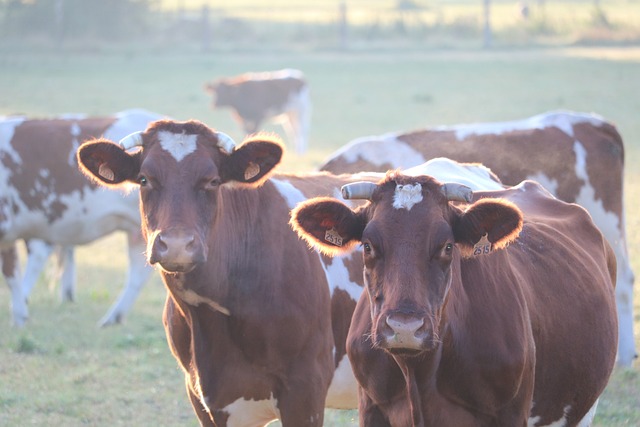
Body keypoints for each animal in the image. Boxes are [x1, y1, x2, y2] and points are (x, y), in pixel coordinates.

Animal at [292, 172, 616, 426]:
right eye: (368, 245)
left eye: (447, 246)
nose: (404, 328)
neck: (418, 377)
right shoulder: (371, 409)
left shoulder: (511, 413)